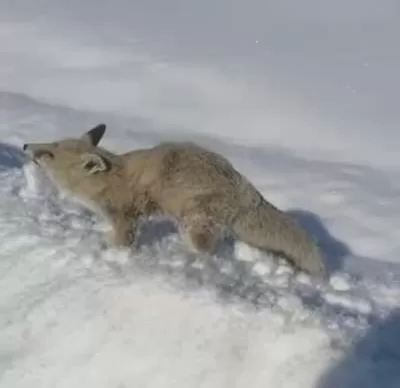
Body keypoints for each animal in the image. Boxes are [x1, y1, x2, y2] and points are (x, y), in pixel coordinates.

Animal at [22, 124, 324, 276]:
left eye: (50, 154)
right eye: (49, 144)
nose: (25, 145)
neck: (110, 181)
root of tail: (250, 193)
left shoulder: (125, 218)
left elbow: (122, 243)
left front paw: (113, 255)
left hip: (193, 224)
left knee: (206, 252)